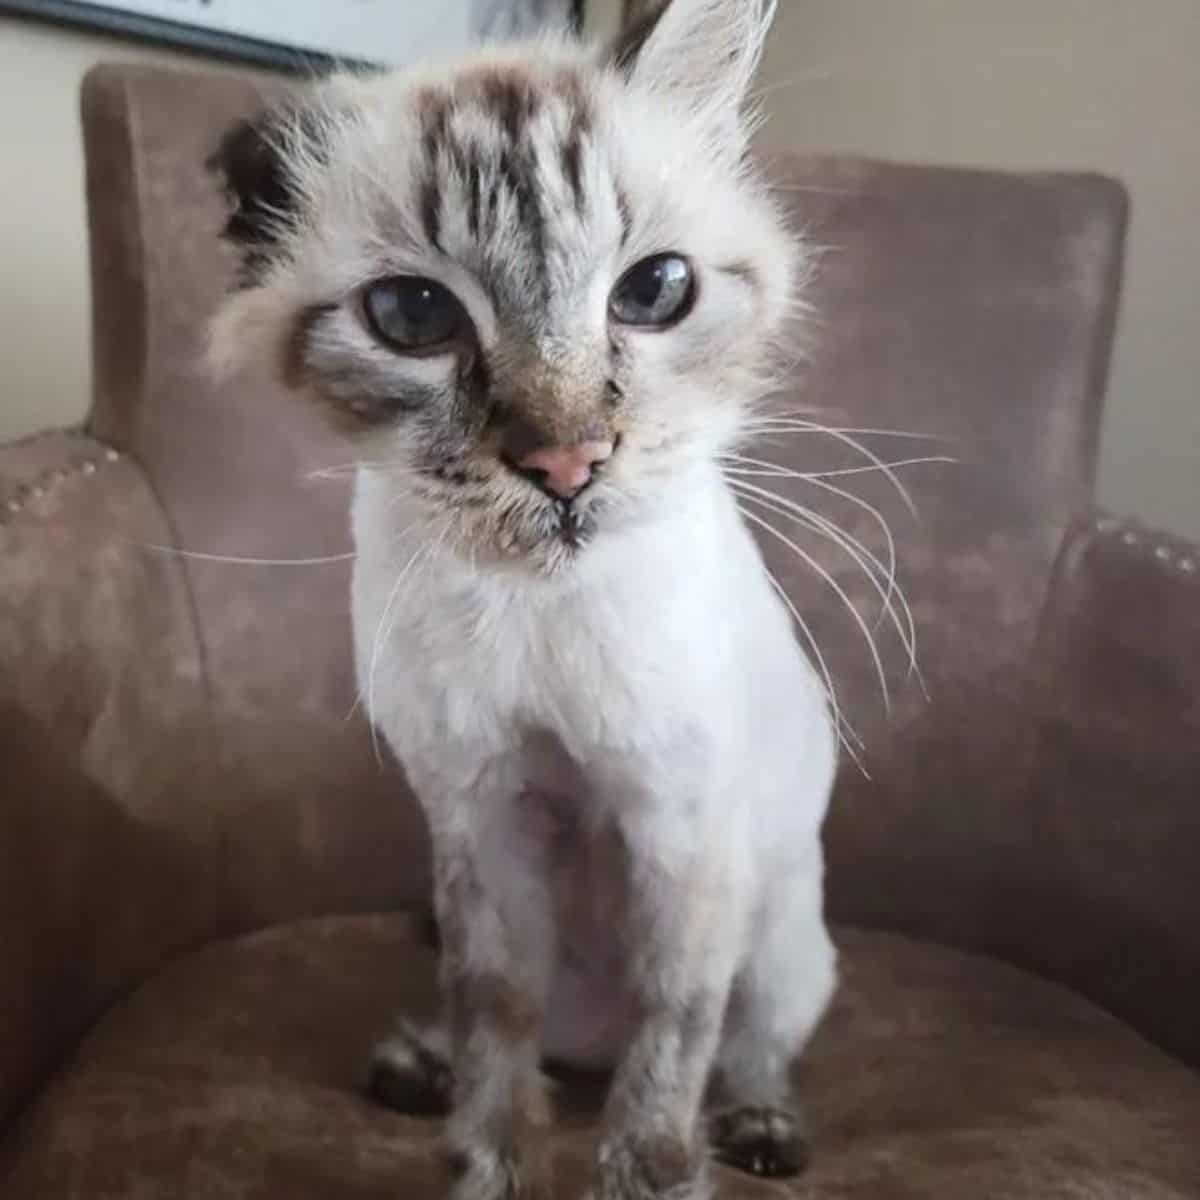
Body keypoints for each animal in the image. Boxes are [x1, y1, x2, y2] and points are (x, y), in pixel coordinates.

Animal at [208, 2, 835, 1200]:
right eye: (414, 315)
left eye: (654, 292)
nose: (565, 462)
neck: (536, 615)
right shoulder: (479, 813)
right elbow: (494, 1025)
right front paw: (488, 1170)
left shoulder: (681, 827)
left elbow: (669, 1050)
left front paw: (649, 1175)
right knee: (531, 1036)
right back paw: (419, 1067)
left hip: (784, 936)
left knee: (746, 1046)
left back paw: (762, 1131)